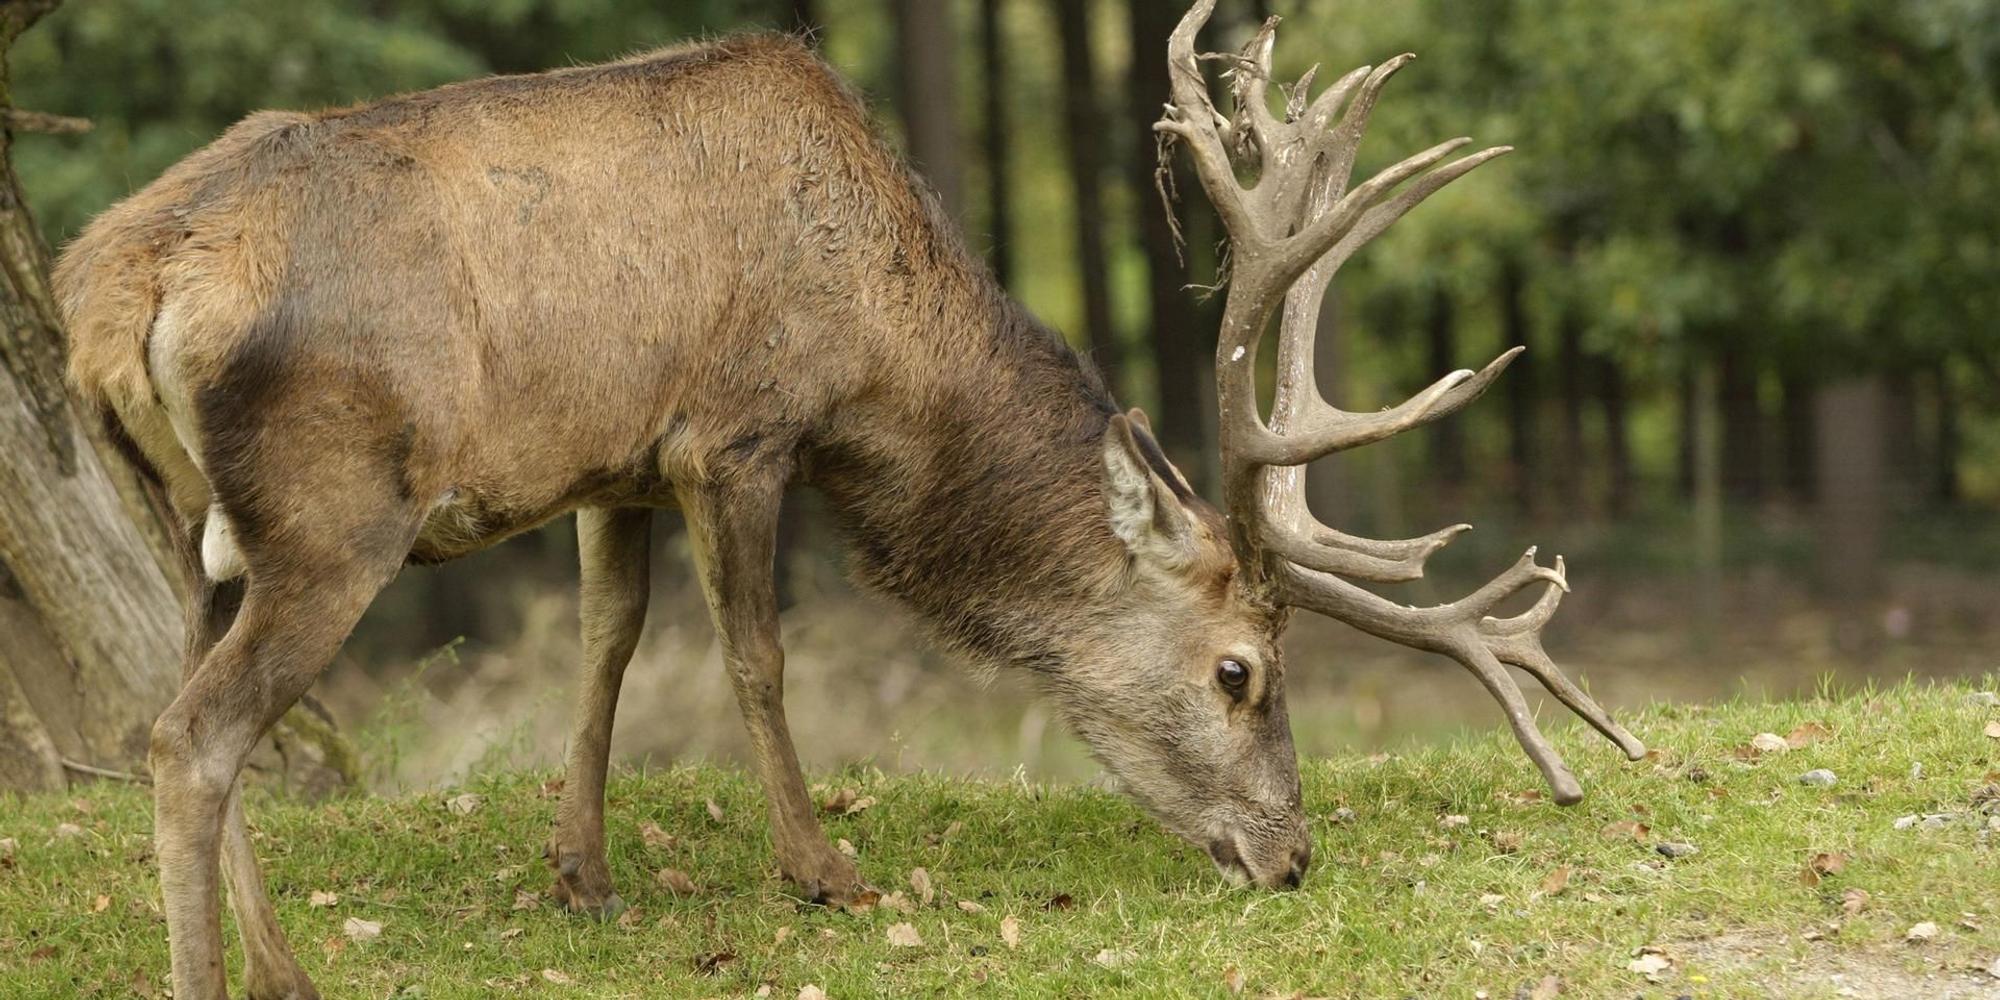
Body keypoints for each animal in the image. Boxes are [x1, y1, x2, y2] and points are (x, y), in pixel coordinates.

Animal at [52, 4, 1641, 998]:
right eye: (1238, 669)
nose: (1291, 855)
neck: (880, 352)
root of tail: (113, 284)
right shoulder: (737, 431)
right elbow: (754, 655)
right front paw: (823, 870)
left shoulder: (612, 463)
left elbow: (606, 646)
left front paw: (583, 874)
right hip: (336, 512)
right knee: (192, 734)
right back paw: (238, 977)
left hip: (197, 521)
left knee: (180, 706)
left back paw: (282, 966)